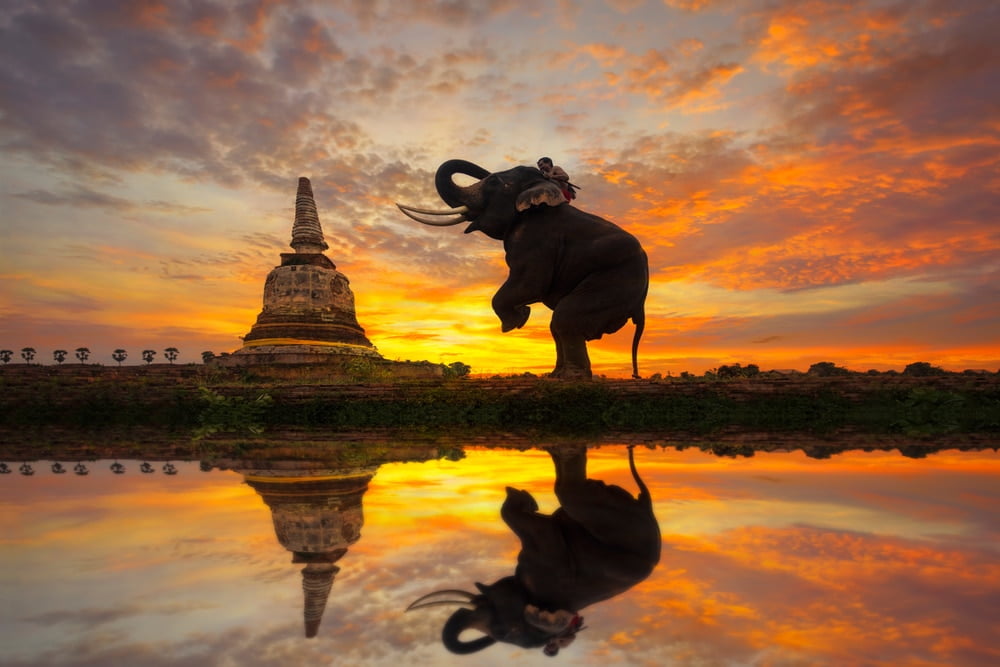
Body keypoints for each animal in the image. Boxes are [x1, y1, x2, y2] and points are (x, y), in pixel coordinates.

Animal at [398, 159, 648, 378]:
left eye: (494, 182)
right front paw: (521, 315)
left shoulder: (537, 238)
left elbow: (530, 284)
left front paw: (517, 319)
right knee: (557, 325)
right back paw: (555, 376)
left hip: (615, 281)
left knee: (564, 317)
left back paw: (571, 378)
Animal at [402, 446, 660, 656]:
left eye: (503, 633)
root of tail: (646, 506)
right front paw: (521, 495)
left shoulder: (552, 557)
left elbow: (521, 518)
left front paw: (520, 497)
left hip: (617, 520)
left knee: (568, 491)